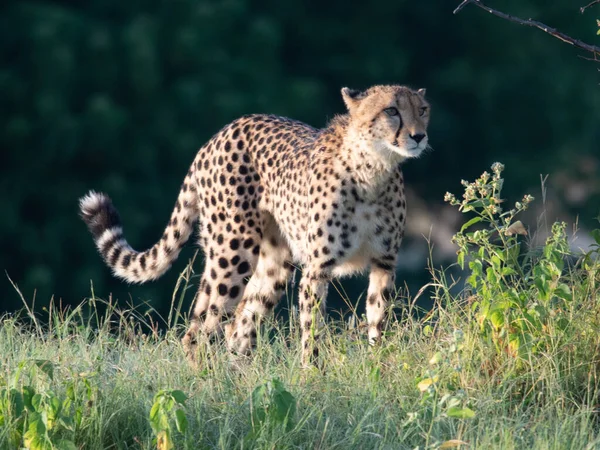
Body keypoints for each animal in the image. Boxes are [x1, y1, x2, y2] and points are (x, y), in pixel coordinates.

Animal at [79, 85, 432, 366]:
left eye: (422, 110)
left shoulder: (384, 262)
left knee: (236, 327)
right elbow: (311, 330)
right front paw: (312, 375)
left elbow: (377, 320)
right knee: (202, 331)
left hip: (273, 263)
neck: (374, 168)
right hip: (232, 252)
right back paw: (210, 386)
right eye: (391, 111)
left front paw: (378, 367)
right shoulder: (318, 268)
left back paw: (243, 384)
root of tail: (220, 133)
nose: (419, 136)